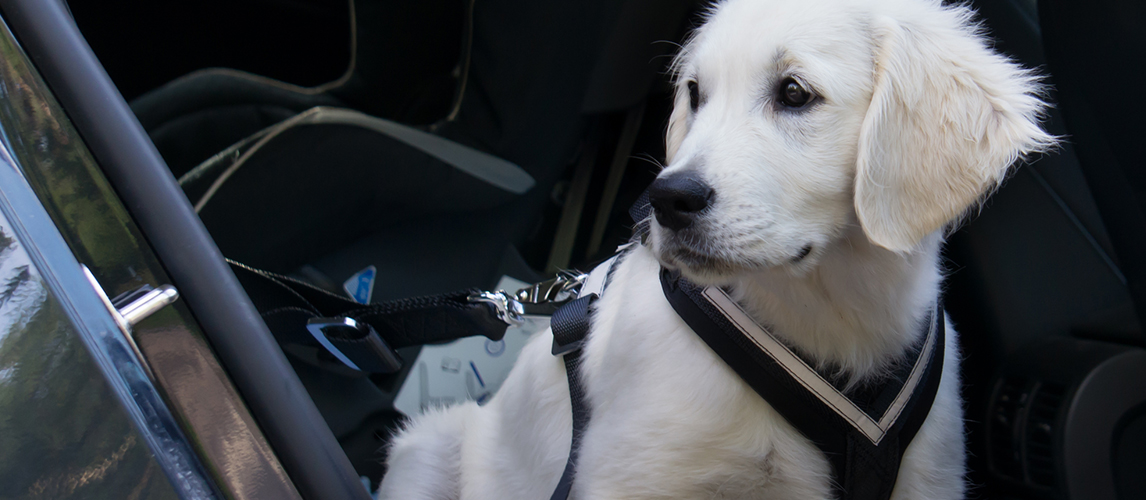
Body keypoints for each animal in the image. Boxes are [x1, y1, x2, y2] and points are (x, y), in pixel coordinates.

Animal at [378, 0, 1054, 497]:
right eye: (696, 93)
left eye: (795, 93)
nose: (666, 199)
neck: (833, 312)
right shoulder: (634, 475)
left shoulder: (925, 477)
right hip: (429, 445)